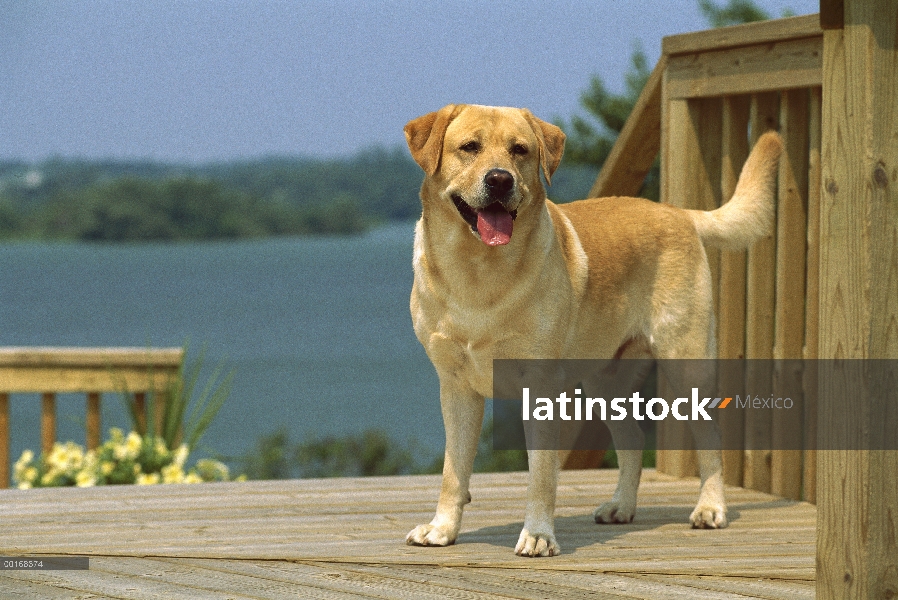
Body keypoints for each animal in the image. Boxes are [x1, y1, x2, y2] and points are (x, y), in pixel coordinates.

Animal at [402, 104, 780, 556]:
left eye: (520, 150)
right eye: (469, 147)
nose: (500, 179)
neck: (477, 270)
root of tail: (678, 212)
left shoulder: (540, 385)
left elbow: (541, 473)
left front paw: (538, 535)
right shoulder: (456, 385)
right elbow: (452, 472)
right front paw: (442, 529)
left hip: (687, 362)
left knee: (710, 439)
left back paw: (710, 509)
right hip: (605, 381)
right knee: (633, 438)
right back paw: (621, 507)